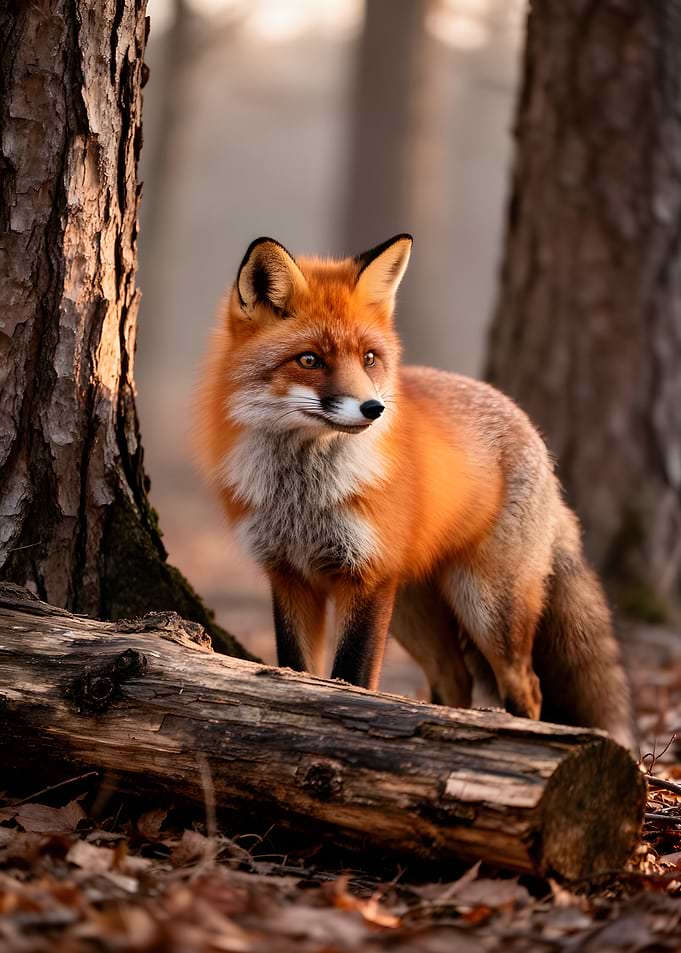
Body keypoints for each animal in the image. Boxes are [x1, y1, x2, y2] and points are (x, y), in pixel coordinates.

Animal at [196, 233, 636, 751]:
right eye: (310, 360)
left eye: (369, 358)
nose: (374, 409)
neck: (303, 497)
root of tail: (531, 429)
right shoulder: (288, 575)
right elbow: (297, 671)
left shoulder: (366, 579)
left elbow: (352, 678)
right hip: (414, 613)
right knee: (455, 679)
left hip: (487, 605)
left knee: (526, 685)